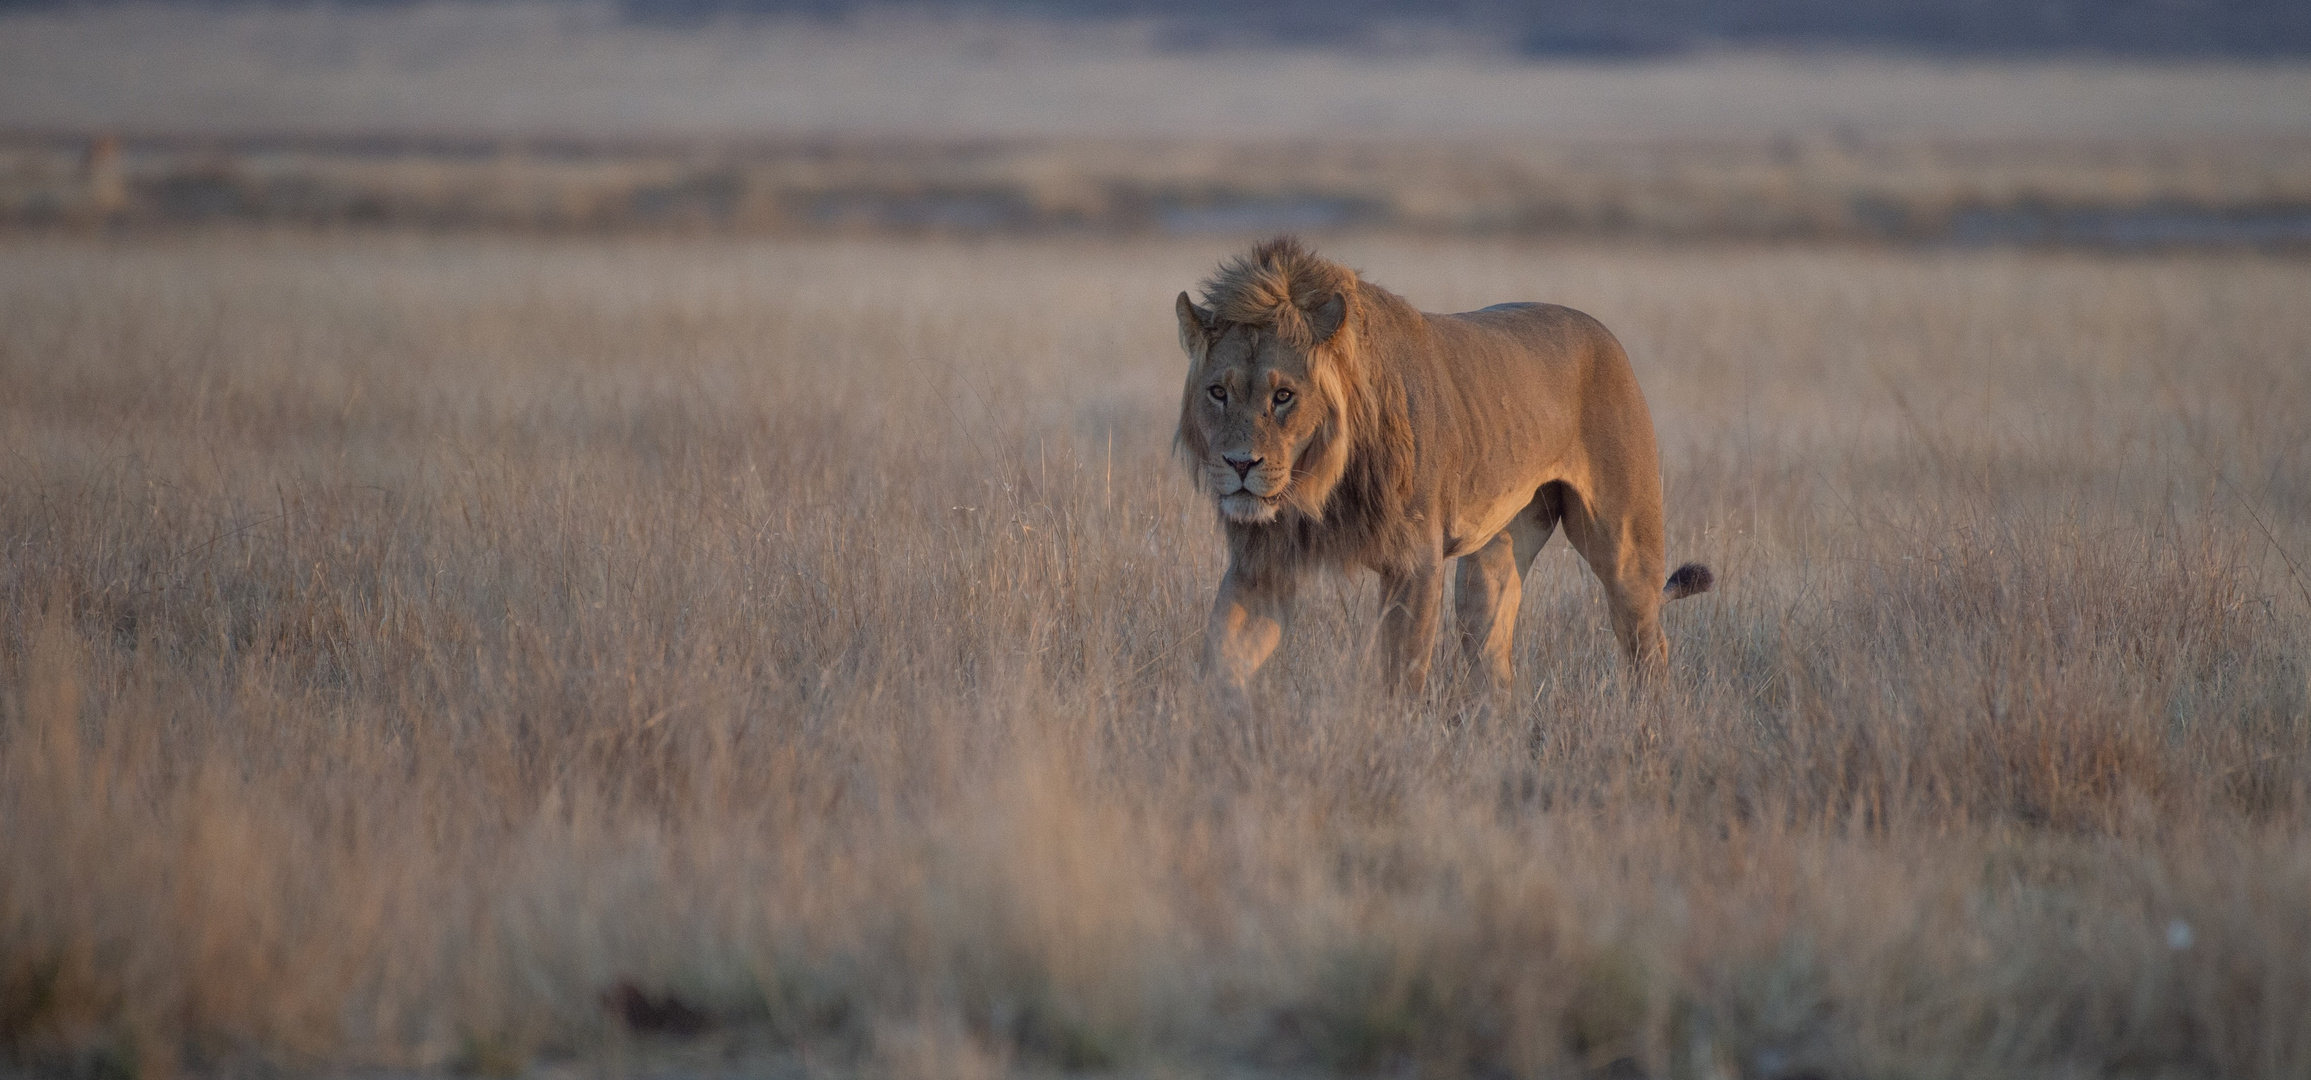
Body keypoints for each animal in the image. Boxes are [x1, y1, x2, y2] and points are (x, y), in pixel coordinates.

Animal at [1183, 234, 1710, 703]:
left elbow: (1402, 677)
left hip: (1624, 548)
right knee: (1494, 659)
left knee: (1648, 645)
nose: (1240, 463)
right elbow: (1221, 662)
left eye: (1283, 395)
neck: (1317, 483)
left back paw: (1648, 725)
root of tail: (1603, 333)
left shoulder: (1414, 561)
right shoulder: (1261, 564)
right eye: (1218, 392)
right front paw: (1206, 731)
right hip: (1493, 559)